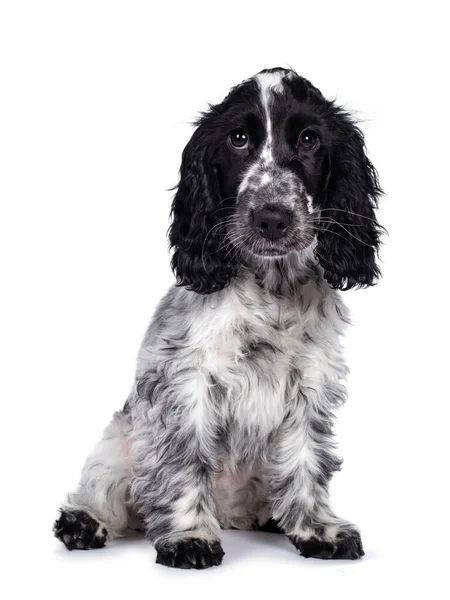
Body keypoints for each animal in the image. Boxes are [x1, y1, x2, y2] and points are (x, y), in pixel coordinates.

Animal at [53, 68, 384, 568]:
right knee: (108, 493)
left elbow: (306, 460)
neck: (272, 287)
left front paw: (318, 530)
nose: (272, 218)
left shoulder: (310, 383)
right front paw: (190, 538)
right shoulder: (186, 381)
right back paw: (83, 523)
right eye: (238, 139)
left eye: (309, 138)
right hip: (119, 443)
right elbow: (184, 461)